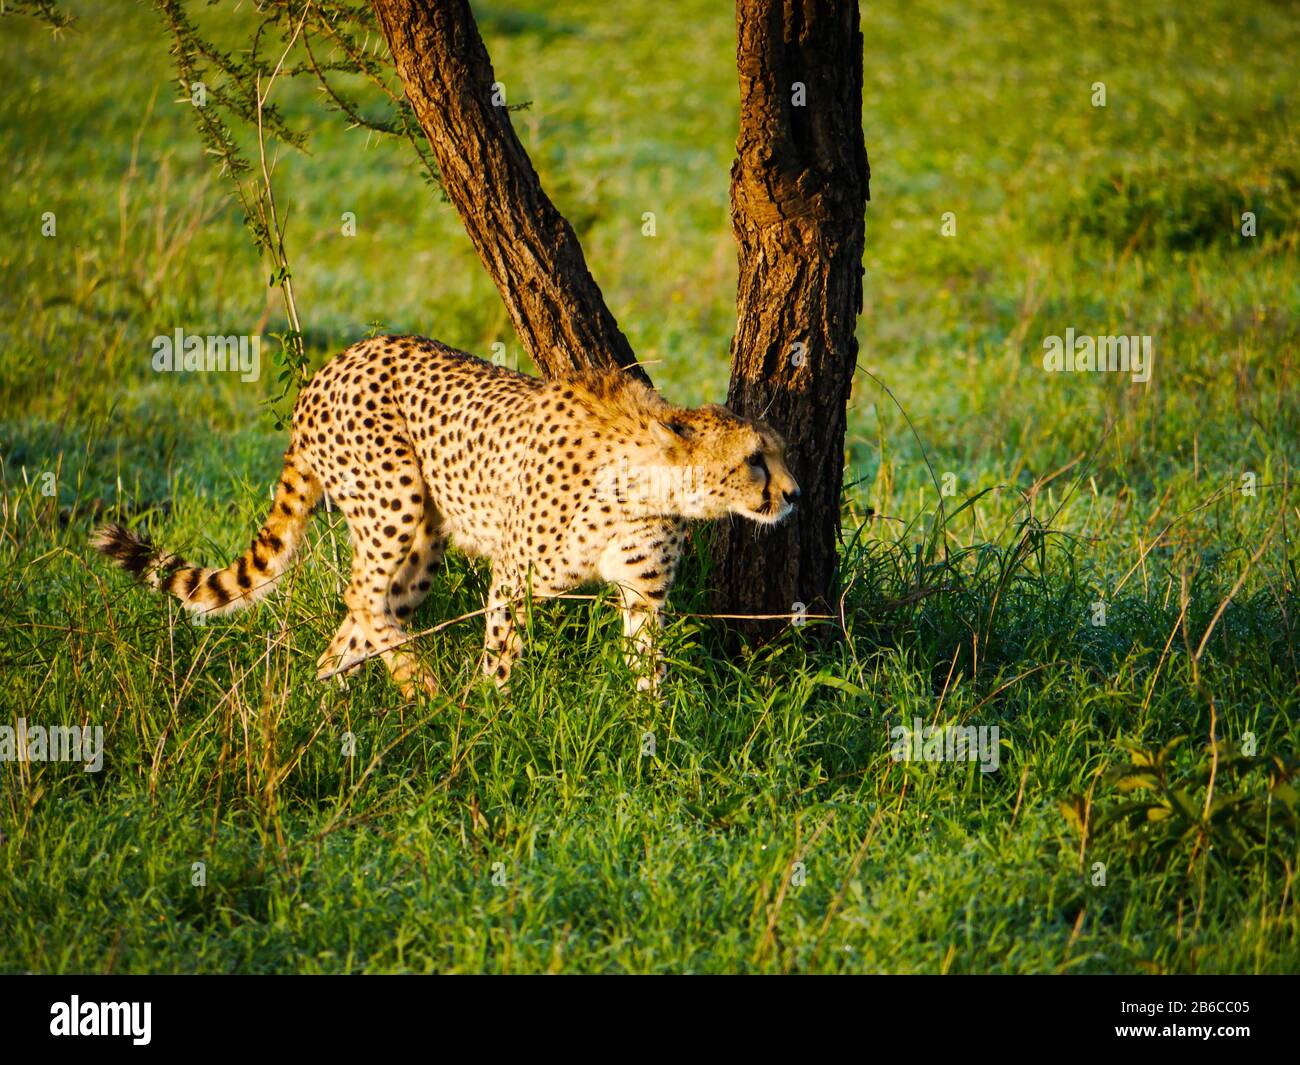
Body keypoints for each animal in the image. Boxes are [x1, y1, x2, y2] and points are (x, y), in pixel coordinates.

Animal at [91, 335, 795, 702]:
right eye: (755, 460)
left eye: (781, 452)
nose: (793, 495)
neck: (646, 484)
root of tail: (337, 361)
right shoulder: (515, 577)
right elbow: (504, 653)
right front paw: (492, 714)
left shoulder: (644, 594)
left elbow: (649, 666)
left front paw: (653, 729)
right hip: (392, 499)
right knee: (362, 596)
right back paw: (420, 686)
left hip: (422, 541)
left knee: (369, 612)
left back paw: (329, 700)